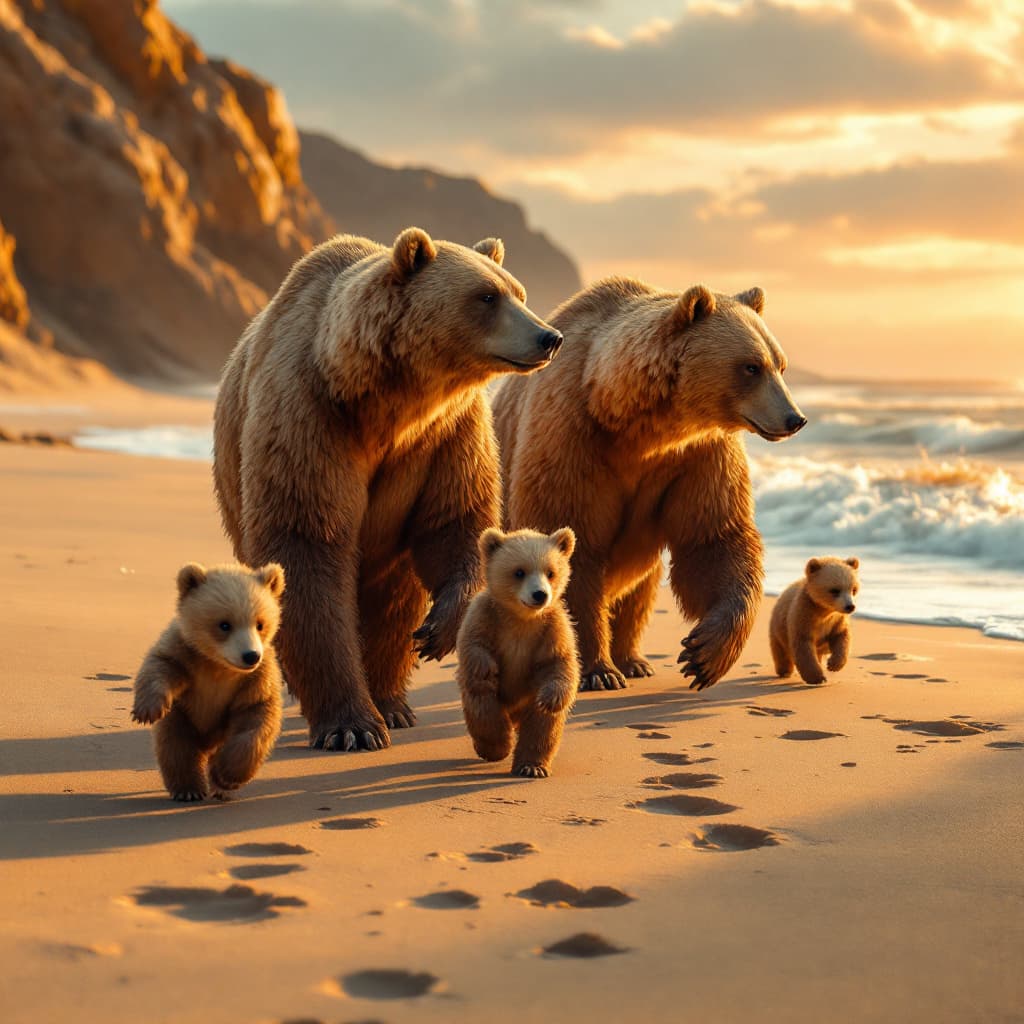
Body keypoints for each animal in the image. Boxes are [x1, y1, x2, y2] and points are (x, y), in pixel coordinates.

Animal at [131, 562, 285, 801]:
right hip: (183, 717)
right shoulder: (187, 655)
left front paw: (226, 777)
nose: (250, 655)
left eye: (260, 624)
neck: (219, 667)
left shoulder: (254, 679)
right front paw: (147, 710)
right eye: (224, 624)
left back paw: (218, 789)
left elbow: (255, 722)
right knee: (176, 746)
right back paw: (188, 789)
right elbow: (161, 665)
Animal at [213, 229, 563, 754]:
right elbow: (306, 545)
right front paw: (350, 725)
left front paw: (437, 631)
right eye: (486, 296)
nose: (549, 337)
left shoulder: (445, 436)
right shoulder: (309, 418)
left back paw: (393, 701)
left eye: (516, 291)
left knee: (394, 600)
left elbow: (456, 523)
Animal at [456, 527, 579, 778]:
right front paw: (488, 669)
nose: (540, 594)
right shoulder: (486, 616)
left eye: (550, 572)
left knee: (542, 726)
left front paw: (551, 699)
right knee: (483, 707)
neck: (522, 619)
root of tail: (514, 716)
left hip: (530, 697)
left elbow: (560, 663)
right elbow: (475, 648)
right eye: (519, 571)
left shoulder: (552, 628)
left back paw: (532, 766)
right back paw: (495, 748)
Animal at [492, 277, 806, 693]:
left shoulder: (696, 456)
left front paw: (704, 654)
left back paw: (634, 660)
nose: (794, 418)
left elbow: (714, 539)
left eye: (780, 364)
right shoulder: (571, 437)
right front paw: (598, 670)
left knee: (641, 590)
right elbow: (569, 540)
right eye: (751, 367)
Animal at [769, 557, 860, 686]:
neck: (824, 612)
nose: (850, 606)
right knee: (781, 652)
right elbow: (803, 647)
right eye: (835, 590)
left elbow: (842, 637)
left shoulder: (836, 621)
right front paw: (817, 677)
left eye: (853, 589)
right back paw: (784, 671)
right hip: (778, 629)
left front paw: (833, 664)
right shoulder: (803, 618)